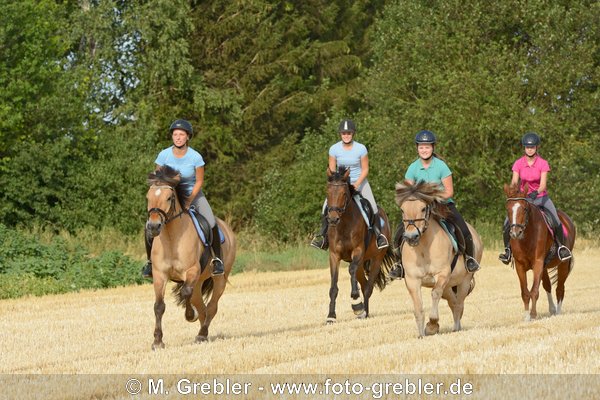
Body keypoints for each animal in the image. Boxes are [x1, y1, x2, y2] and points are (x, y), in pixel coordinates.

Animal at [146, 166, 237, 350]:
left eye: (169, 197)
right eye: (148, 197)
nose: (153, 226)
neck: (171, 239)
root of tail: (227, 228)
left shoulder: (191, 270)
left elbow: (185, 292)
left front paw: (189, 315)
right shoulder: (159, 275)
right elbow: (159, 306)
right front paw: (157, 341)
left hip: (220, 279)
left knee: (211, 306)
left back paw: (202, 333)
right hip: (199, 282)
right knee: (202, 308)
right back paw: (203, 333)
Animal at [324, 167, 394, 324]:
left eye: (344, 194)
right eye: (328, 193)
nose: (333, 219)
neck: (343, 224)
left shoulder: (358, 250)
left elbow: (351, 270)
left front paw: (356, 301)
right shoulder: (334, 255)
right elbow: (333, 285)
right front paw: (331, 316)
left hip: (376, 260)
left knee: (368, 287)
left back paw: (363, 311)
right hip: (362, 263)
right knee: (363, 282)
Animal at [394, 181, 482, 338]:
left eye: (423, 208)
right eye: (403, 210)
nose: (411, 237)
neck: (423, 247)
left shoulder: (442, 274)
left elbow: (434, 294)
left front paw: (432, 325)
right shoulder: (412, 280)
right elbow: (418, 307)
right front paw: (421, 334)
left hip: (464, 280)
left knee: (459, 303)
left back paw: (456, 328)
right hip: (448, 286)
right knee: (453, 302)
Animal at [502, 183, 576, 320]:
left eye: (525, 209)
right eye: (508, 209)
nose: (515, 233)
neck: (527, 236)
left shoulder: (537, 262)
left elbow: (534, 290)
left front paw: (533, 314)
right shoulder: (520, 266)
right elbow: (525, 292)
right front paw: (526, 317)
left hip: (563, 264)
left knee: (560, 288)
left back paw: (558, 313)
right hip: (545, 266)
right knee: (548, 285)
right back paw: (552, 309)